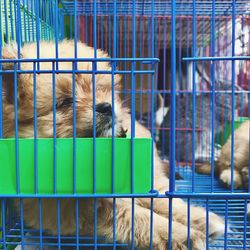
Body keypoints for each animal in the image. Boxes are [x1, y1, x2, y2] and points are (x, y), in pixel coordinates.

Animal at [1, 40, 225, 249]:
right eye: (65, 102)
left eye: (101, 89)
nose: (106, 107)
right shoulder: (85, 208)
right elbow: (137, 217)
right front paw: (182, 236)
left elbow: (159, 202)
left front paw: (193, 226)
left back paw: (203, 219)